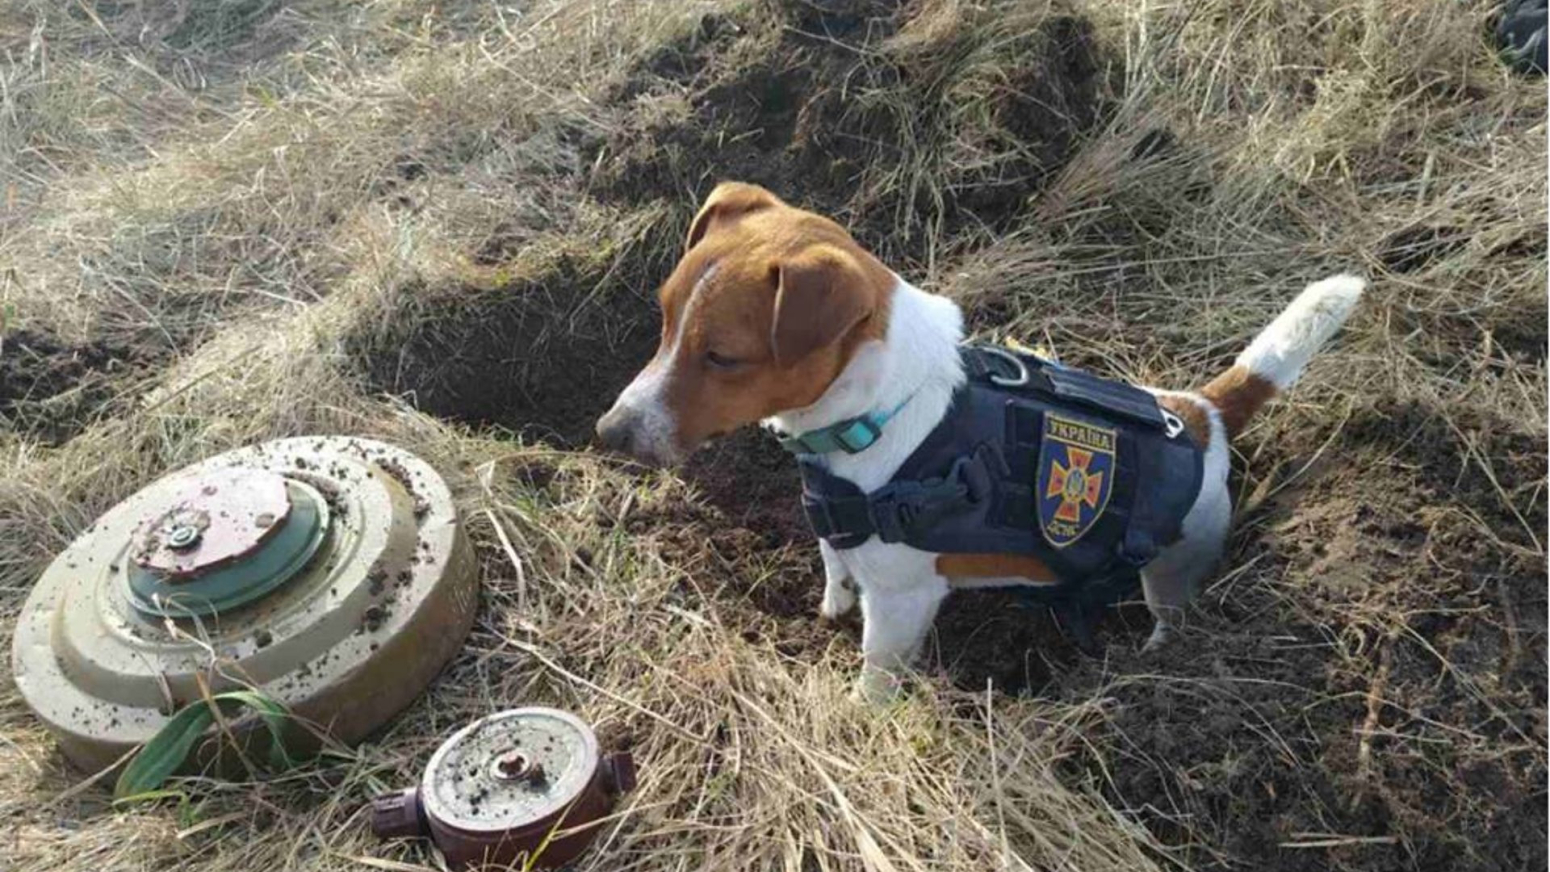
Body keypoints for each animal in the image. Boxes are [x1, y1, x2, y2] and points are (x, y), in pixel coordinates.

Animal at [592, 184, 1357, 703]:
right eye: (663, 318)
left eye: (723, 357)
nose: (609, 432)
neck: (879, 409)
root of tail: (1200, 413)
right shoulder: (838, 531)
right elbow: (836, 568)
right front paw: (829, 608)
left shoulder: (902, 602)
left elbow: (876, 671)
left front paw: (861, 711)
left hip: (1174, 569)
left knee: (1171, 614)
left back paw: (1153, 659)